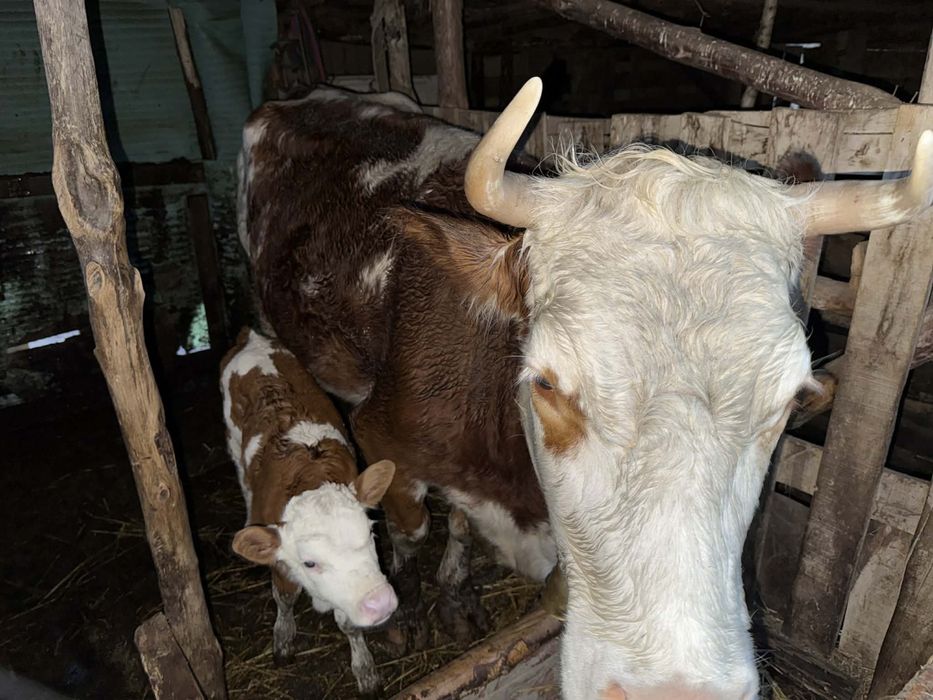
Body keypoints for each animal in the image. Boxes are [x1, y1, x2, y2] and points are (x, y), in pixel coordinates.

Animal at [221, 328, 398, 696]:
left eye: (371, 534)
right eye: (310, 563)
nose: (381, 603)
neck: (311, 478)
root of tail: (251, 337)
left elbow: (349, 624)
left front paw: (365, 670)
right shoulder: (281, 564)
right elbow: (284, 598)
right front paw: (283, 638)